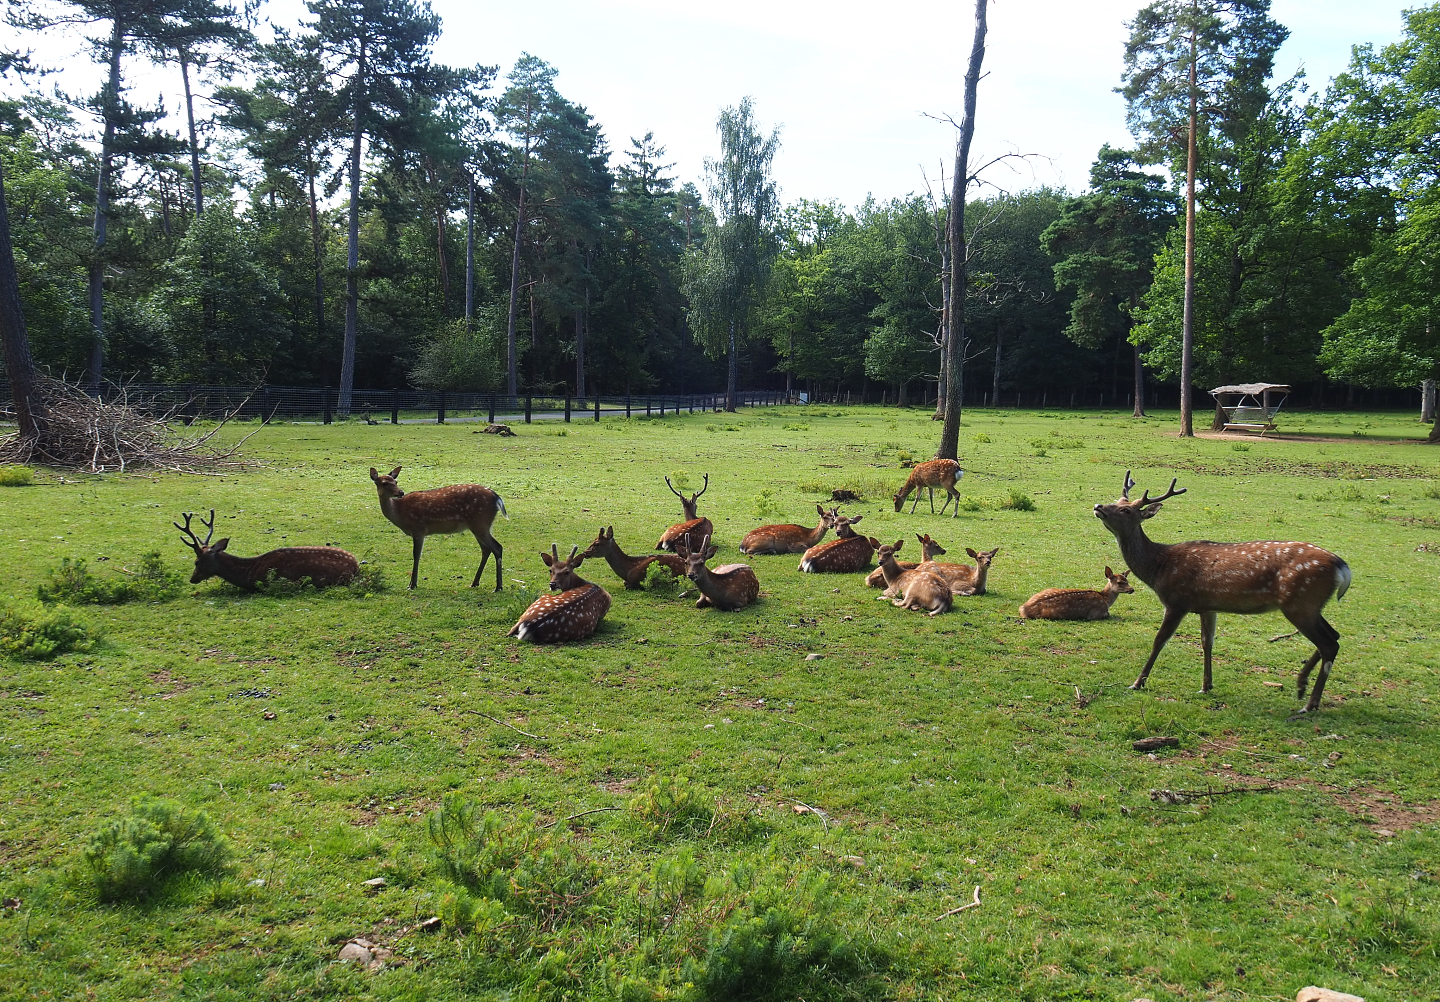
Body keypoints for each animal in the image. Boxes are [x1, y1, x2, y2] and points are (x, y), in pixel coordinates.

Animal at [369, 466, 506, 591]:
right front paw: (412, 583)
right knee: (486, 549)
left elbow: (416, 555)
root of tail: (498, 499)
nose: (401, 492)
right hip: (478, 526)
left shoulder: (419, 528)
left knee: (497, 547)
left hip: (480, 523)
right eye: (384, 483)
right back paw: (474, 583)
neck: (401, 513)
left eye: (396, 482)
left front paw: (412, 584)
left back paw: (498, 587)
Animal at [582, 526, 715, 589]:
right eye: (594, 540)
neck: (628, 569)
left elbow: (628, 584)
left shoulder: (637, 578)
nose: (585, 552)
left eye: (597, 543)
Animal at [1094, 471, 1352, 715]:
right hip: (1311, 605)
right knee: (1334, 636)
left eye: (1126, 509)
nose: (1098, 506)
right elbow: (1207, 642)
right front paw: (1206, 686)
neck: (1158, 568)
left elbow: (1159, 640)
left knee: (1329, 644)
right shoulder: (1207, 607)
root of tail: (1341, 566)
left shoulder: (1177, 602)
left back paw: (1310, 703)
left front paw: (1138, 683)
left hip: (1299, 602)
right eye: (1116, 500)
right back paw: (1301, 685)